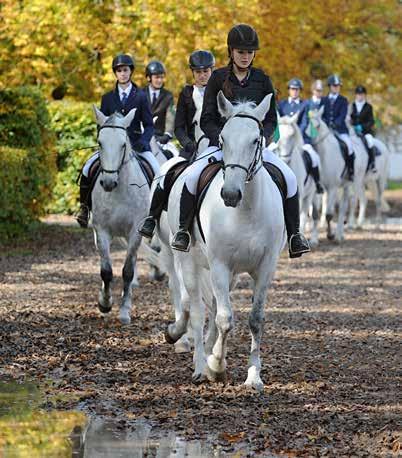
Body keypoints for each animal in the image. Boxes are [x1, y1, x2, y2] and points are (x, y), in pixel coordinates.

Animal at [92, 106, 150, 326]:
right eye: (100, 142)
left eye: (123, 144)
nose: (108, 183)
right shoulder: (101, 231)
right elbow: (106, 271)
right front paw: (105, 303)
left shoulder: (135, 232)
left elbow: (127, 271)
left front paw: (124, 311)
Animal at [165, 93, 284, 390]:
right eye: (222, 139)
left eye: (256, 140)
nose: (230, 194)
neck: (246, 210)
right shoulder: (219, 265)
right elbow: (224, 319)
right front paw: (217, 367)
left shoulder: (265, 267)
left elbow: (255, 319)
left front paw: (253, 376)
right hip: (188, 261)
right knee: (197, 311)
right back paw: (200, 365)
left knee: (213, 305)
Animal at [278, 113, 318, 247]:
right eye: (278, 136)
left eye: (292, 136)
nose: (285, 159)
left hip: (311, 194)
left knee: (309, 214)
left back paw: (312, 239)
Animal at [308, 108, 352, 242]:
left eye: (317, 126)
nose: (310, 144)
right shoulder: (316, 189)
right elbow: (315, 214)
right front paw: (313, 239)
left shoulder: (333, 187)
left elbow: (329, 214)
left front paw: (330, 235)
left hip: (346, 185)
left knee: (342, 208)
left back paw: (339, 235)